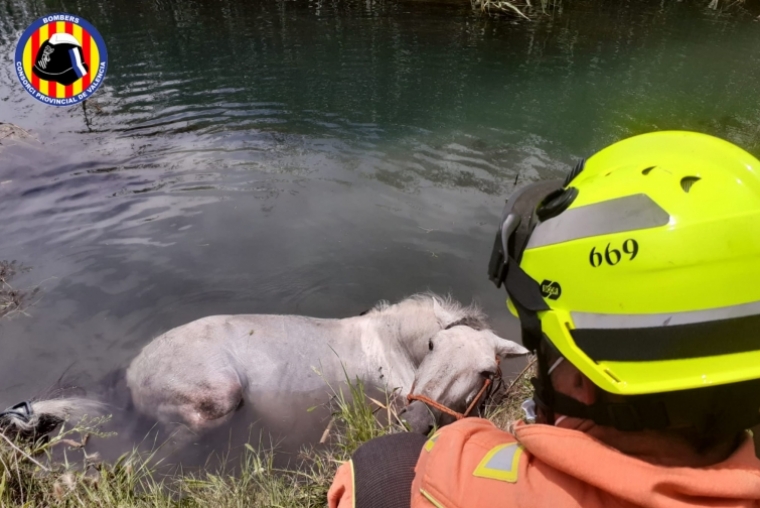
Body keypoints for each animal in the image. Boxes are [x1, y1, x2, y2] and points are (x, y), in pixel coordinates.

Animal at [0, 292, 528, 442]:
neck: (397, 346)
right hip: (213, 401)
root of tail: (129, 379)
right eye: (434, 345)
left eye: (485, 372)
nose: (415, 422)